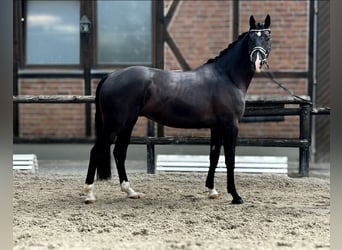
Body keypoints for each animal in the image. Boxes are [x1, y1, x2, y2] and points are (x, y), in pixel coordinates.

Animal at [83, 14, 272, 204]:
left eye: (267, 37)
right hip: (114, 124)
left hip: (128, 123)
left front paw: (212, 191)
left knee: (119, 152)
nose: (257, 61)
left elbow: (214, 156)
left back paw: (130, 191)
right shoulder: (230, 125)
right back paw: (89, 194)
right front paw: (235, 196)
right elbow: (230, 159)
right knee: (96, 151)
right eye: (251, 38)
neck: (226, 76)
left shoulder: (217, 127)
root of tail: (111, 76)